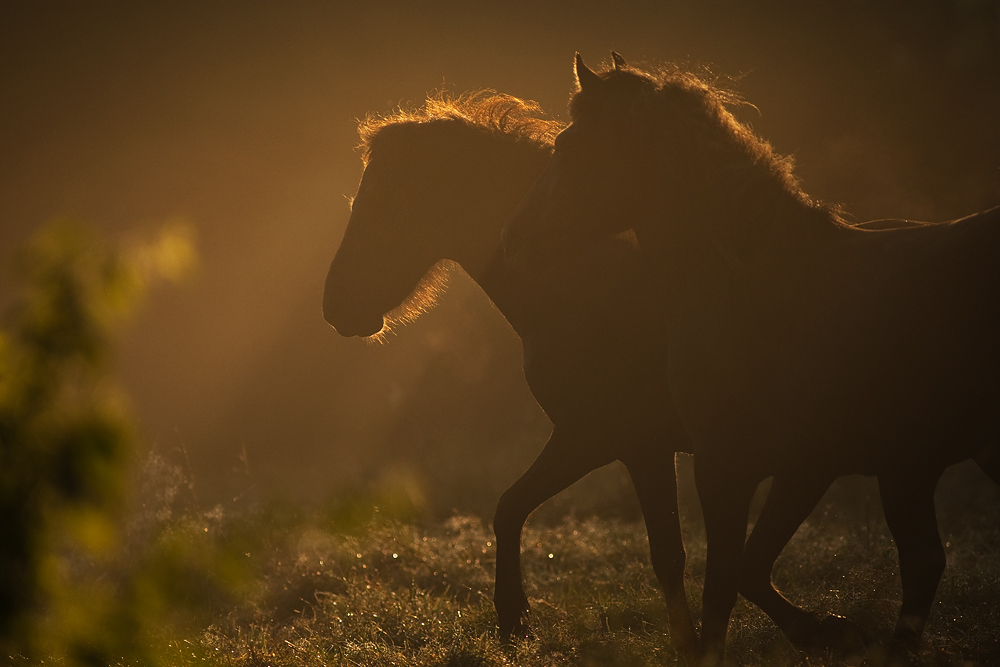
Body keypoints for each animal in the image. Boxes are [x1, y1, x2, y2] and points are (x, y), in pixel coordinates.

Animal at [324, 90, 700, 656]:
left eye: (385, 203)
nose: (334, 304)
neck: (591, 286)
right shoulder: (623, 445)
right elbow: (513, 509)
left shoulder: (607, 438)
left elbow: (664, 555)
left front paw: (513, 617)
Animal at [504, 53, 1000, 667]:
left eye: (568, 146)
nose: (516, 238)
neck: (760, 287)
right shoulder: (827, 466)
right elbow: (745, 572)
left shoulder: (729, 466)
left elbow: (721, 590)